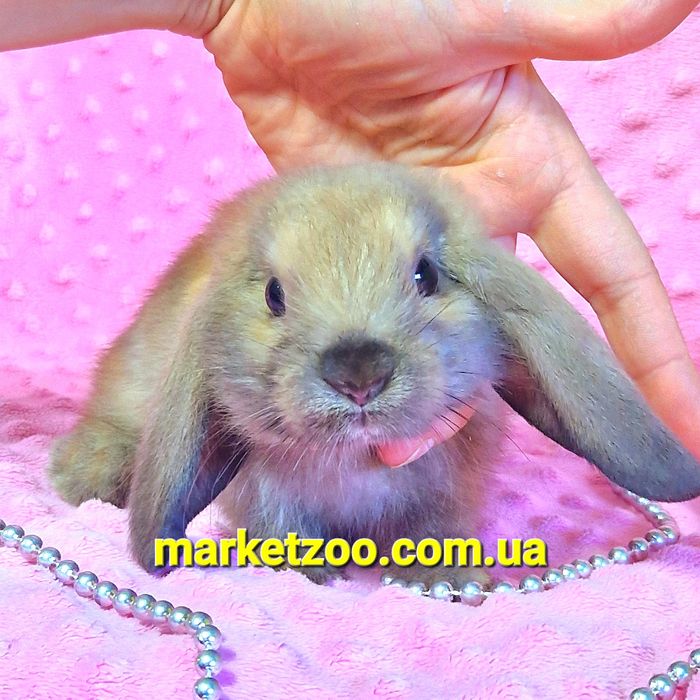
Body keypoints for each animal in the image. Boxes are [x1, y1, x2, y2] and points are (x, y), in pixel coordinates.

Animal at [49, 163, 700, 586]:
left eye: (426, 274)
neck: (359, 458)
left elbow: (436, 541)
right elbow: (289, 541)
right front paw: (316, 579)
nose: (358, 373)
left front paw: (450, 584)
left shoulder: (446, 498)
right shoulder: (271, 504)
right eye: (274, 294)